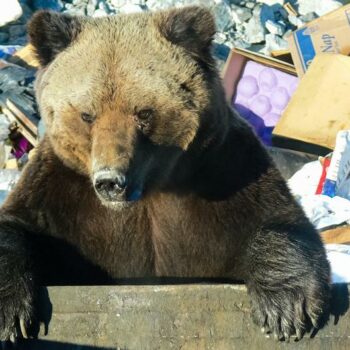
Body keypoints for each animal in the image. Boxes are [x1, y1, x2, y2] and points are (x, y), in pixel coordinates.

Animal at [0, 6, 330, 344]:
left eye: (143, 112)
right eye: (87, 114)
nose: (111, 181)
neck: (149, 193)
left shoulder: (224, 170)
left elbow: (279, 222)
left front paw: (284, 307)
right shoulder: (62, 192)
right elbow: (18, 227)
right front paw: (12, 315)